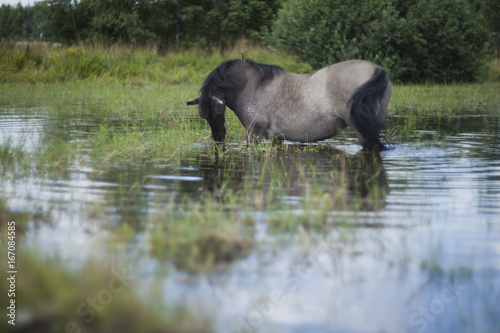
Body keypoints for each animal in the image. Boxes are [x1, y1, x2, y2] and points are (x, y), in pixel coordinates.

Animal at [188, 58, 390, 149]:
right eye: (203, 115)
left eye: (218, 109)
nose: (218, 138)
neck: (253, 85)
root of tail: (377, 69)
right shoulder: (276, 138)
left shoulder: (254, 132)